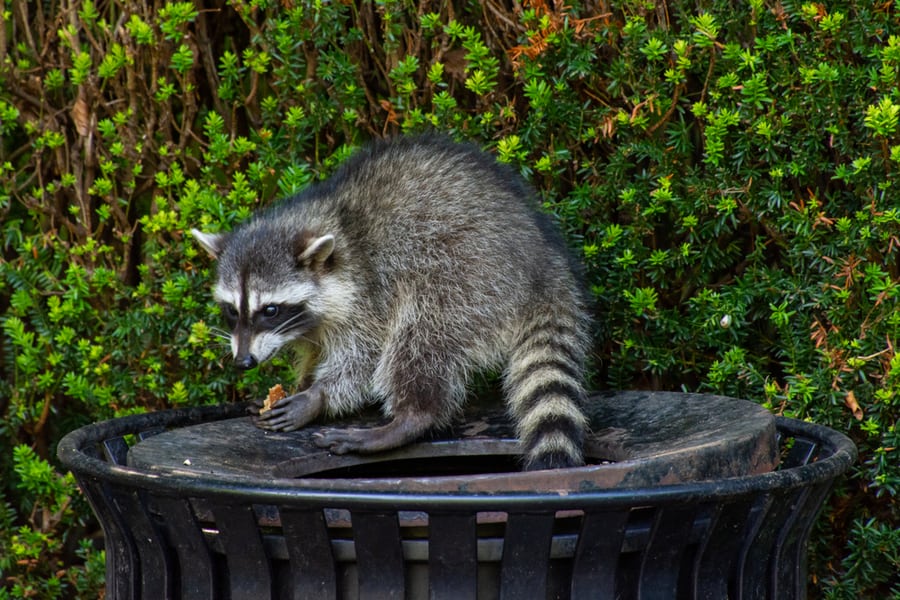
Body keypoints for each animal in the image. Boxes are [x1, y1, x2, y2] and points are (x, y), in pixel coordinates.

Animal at [193, 135, 596, 468]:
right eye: (232, 311)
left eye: (270, 310)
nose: (243, 362)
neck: (333, 220)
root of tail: (544, 262)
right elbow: (314, 352)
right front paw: (302, 383)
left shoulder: (369, 291)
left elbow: (364, 356)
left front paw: (318, 396)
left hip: (469, 275)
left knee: (420, 335)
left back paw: (410, 417)